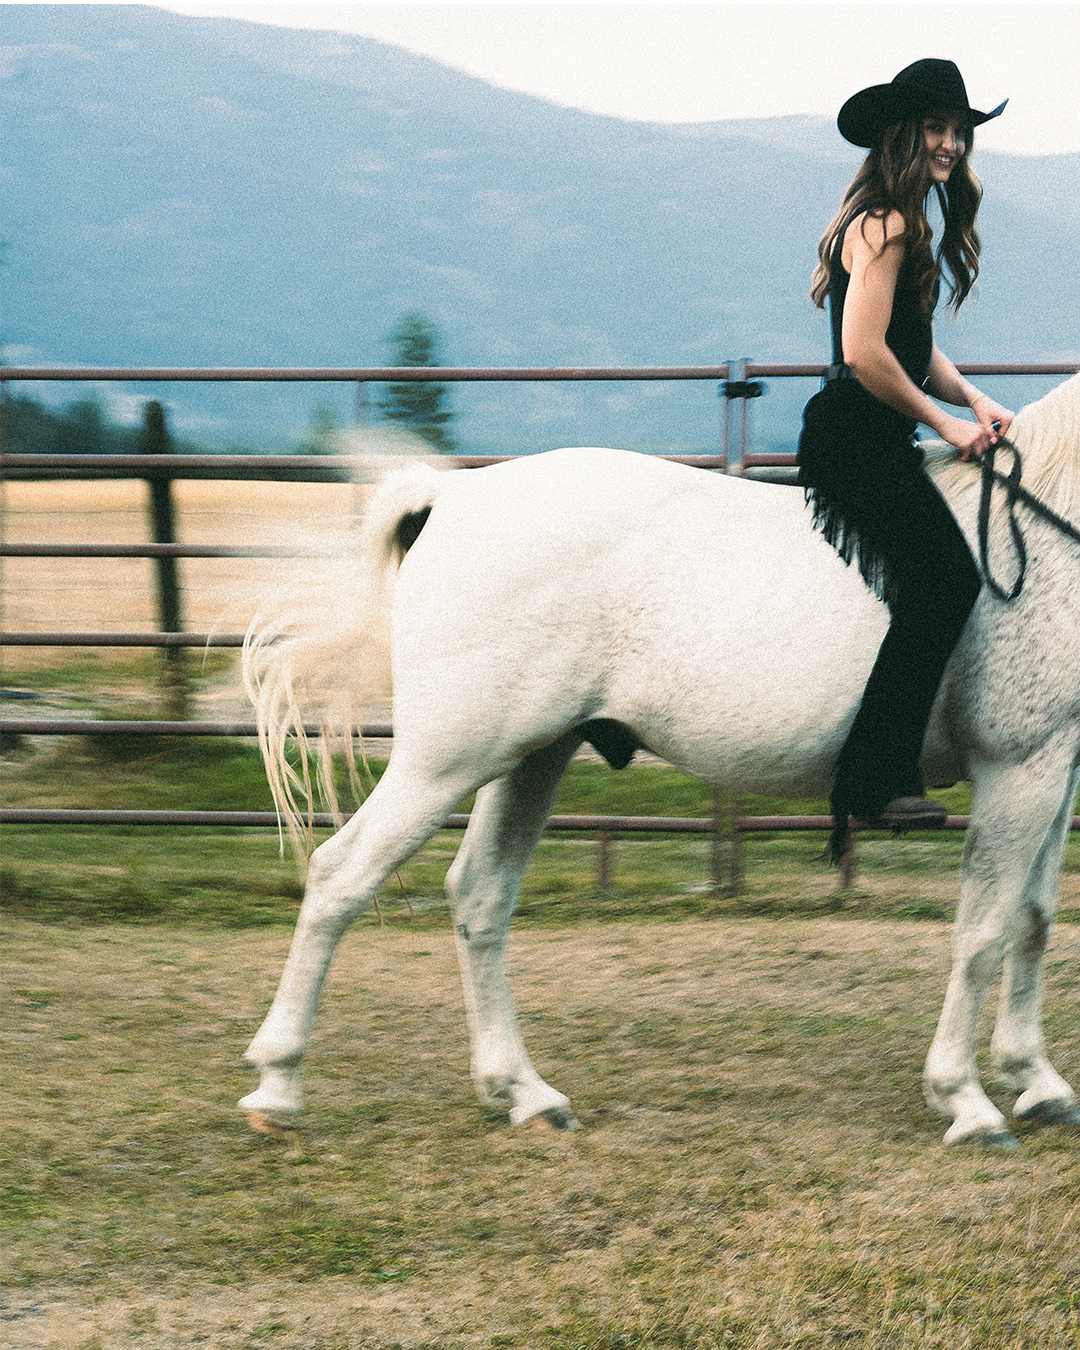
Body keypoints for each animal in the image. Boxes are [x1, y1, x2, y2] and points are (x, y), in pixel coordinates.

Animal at [239, 373, 1080, 1150]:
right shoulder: (1018, 768)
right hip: (447, 759)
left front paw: (1037, 1082)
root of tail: (454, 494)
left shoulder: (1057, 770)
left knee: (479, 897)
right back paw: (278, 1086)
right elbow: (984, 930)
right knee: (341, 877)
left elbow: (1035, 918)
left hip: (531, 758)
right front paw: (967, 1100)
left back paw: (525, 1093)